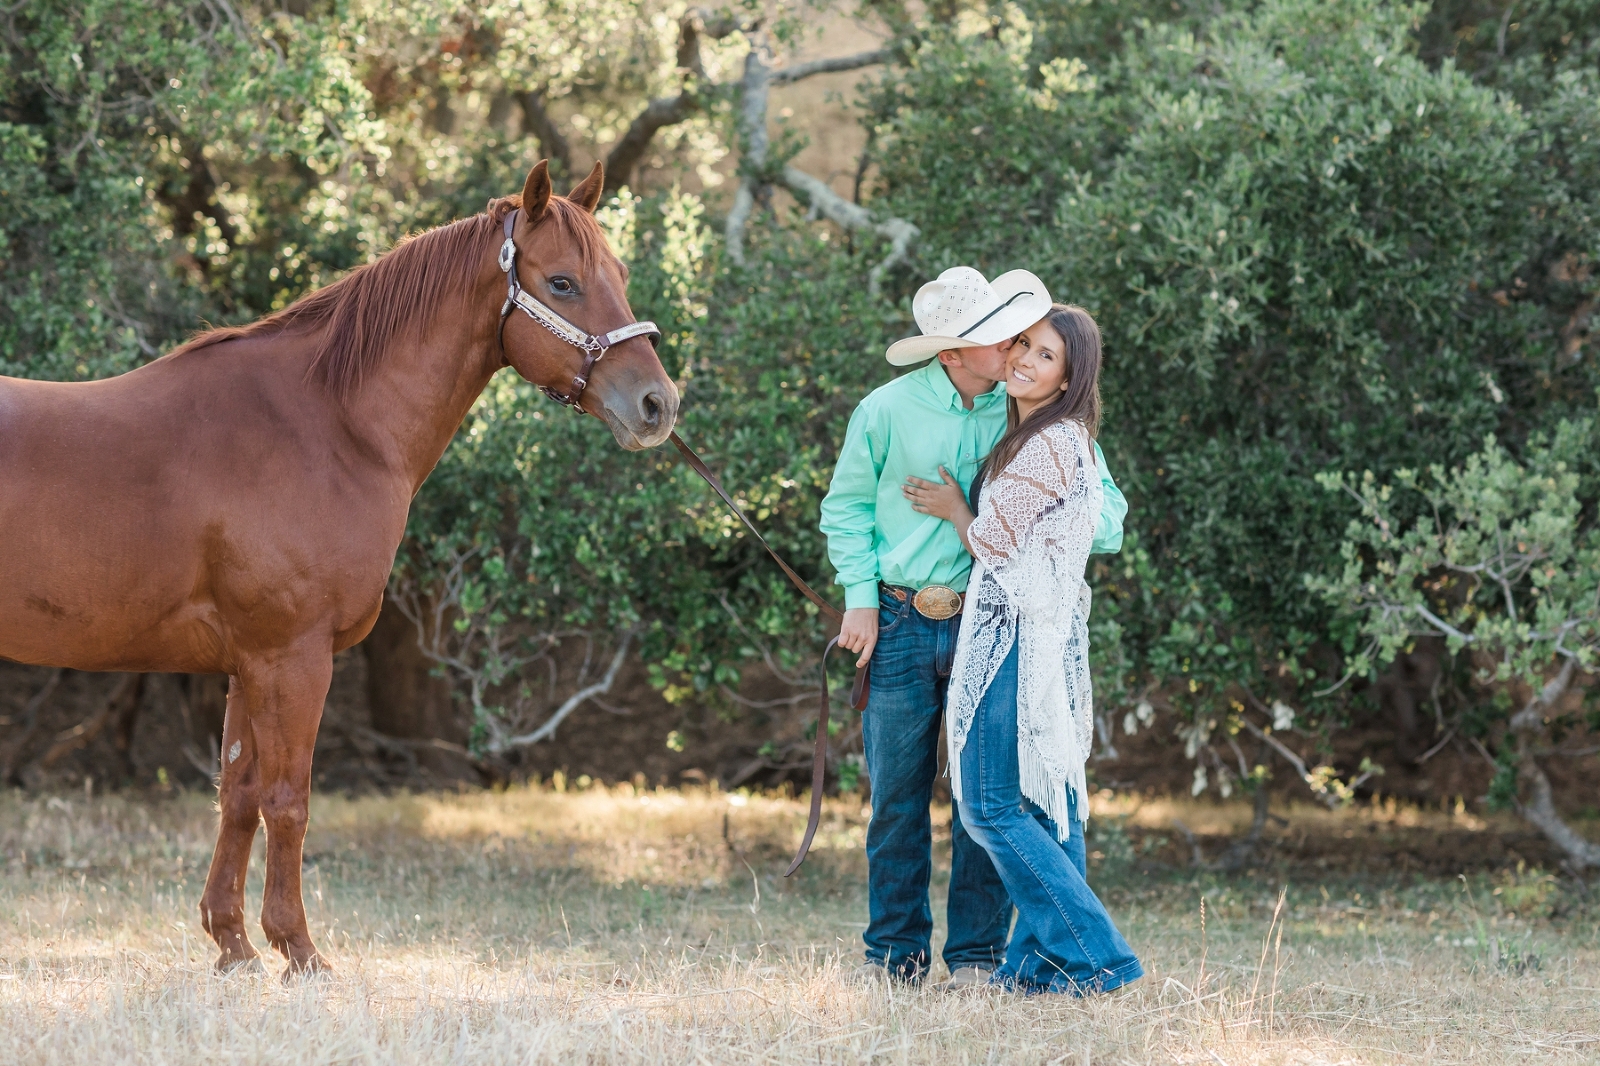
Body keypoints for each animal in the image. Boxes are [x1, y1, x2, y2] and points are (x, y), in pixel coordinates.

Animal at [0, 160, 678, 977]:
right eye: (563, 282)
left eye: (619, 275)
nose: (657, 404)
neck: (326, 426)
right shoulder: (293, 655)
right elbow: (287, 800)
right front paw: (299, 950)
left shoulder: (247, 663)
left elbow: (238, 793)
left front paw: (233, 946)